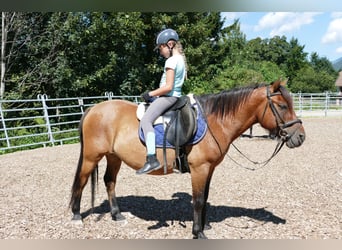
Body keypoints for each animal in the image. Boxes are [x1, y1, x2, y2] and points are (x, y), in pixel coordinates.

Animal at [69, 79, 304, 238]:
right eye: (283, 106)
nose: (300, 136)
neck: (215, 122)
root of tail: (93, 108)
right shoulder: (199, 168)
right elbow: (198, 200)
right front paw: (198, 232)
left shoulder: (209, 168)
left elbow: (205, 197)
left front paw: (205, 225)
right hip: (91, 157)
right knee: (81, 182)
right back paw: (77, 216)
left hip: (113, 157)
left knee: (109, 182)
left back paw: (117, 215)